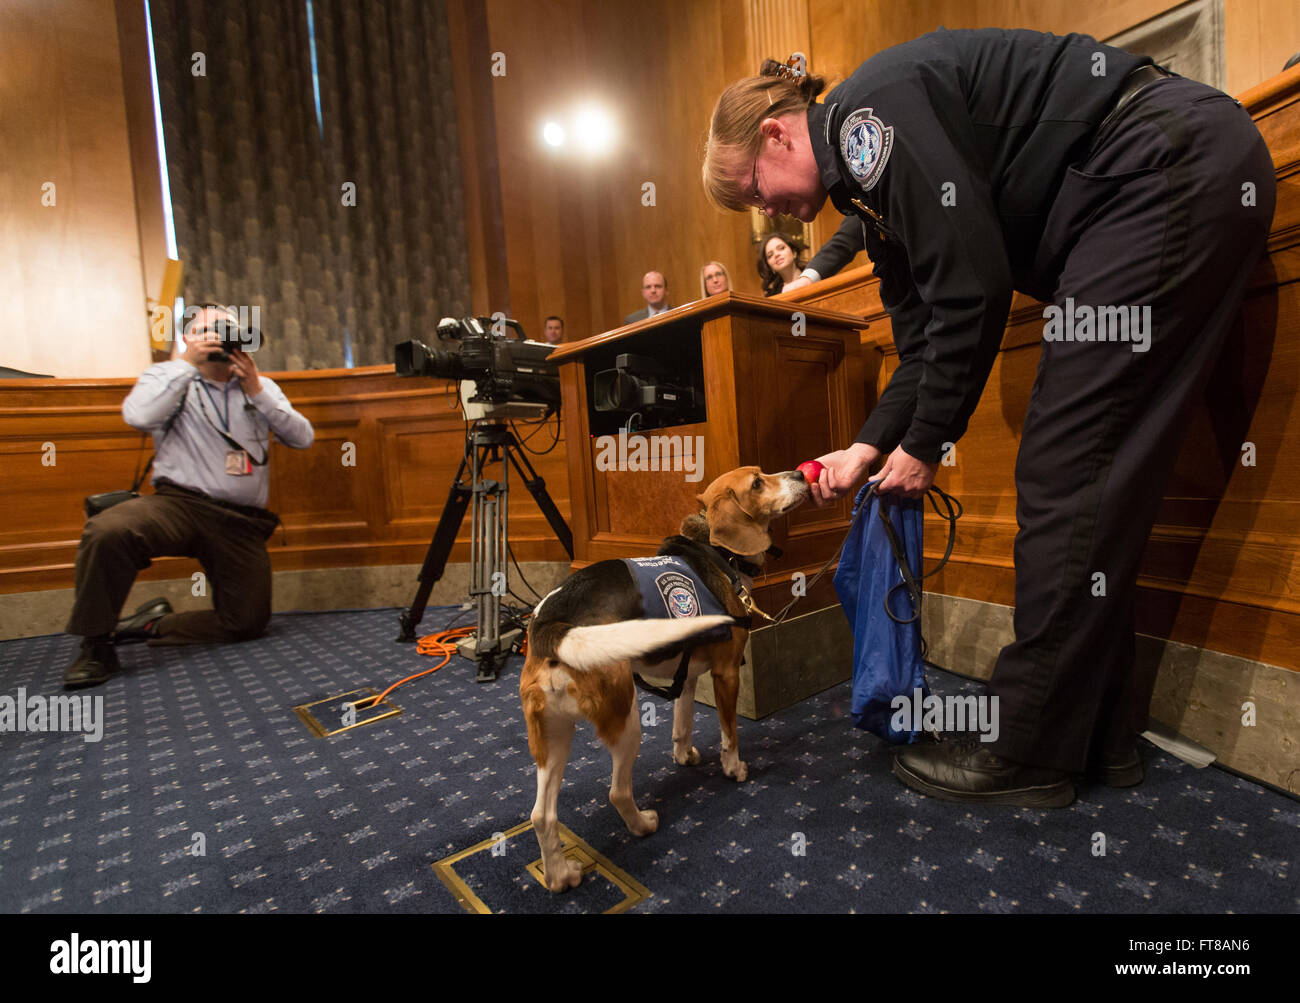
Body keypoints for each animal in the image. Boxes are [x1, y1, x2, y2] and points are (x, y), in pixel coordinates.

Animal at [520, 465, 806, 888]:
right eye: (757, 483)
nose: (800, 473)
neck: (717, 553)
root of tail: (550, 626)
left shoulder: (686, 676)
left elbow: (682, 724)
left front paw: (684, 756)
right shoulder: (725, 674)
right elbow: (730, 734)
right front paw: (733, 769)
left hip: (553, 737)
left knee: (542, 815)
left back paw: (559, 875)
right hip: (625, 721)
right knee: (617, 792)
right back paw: (643, 825)